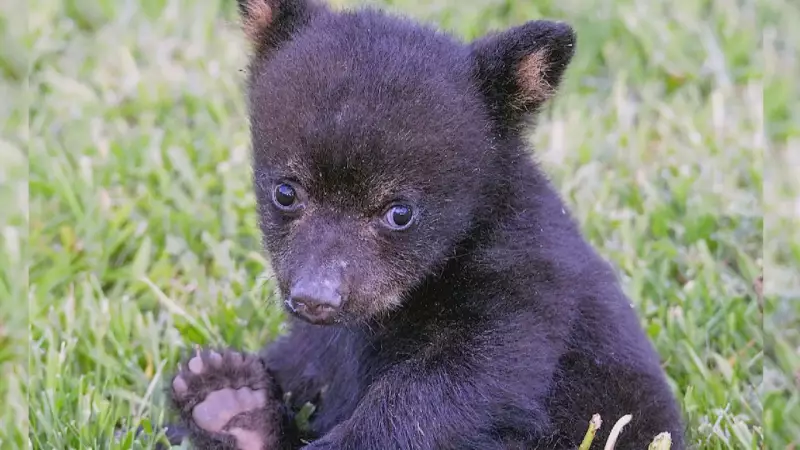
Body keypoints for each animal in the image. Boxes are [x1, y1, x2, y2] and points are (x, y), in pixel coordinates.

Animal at [166, 0, 687, 449]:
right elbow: (307, 357)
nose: (315, 297)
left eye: (400, 212)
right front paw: (220, 391)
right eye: (286, 192)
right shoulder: (325, 338)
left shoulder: (528, 283)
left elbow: (457, 385)